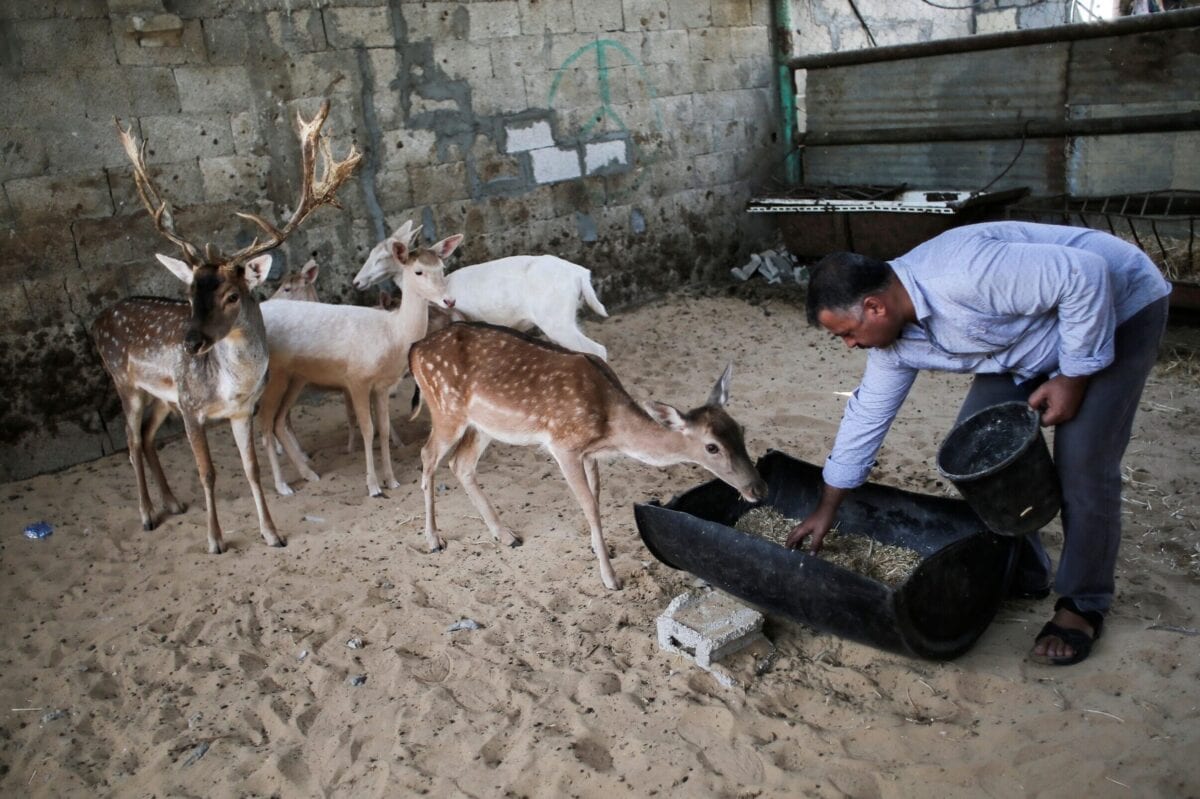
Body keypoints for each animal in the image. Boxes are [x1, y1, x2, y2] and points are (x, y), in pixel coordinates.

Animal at [93, 99, 360, 551]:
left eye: (232, 296)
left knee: (145, 438)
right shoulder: (191, 408)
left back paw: (173, 504)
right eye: (188, 295)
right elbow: (208, 473)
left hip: (162, 397)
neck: (229, 385)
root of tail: (97, 320)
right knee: (130, 441)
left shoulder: (239, 411)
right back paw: (147, 515)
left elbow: (251, 469)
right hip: (125, 383)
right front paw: (215, 540)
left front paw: (272, 533)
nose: (190, 342)